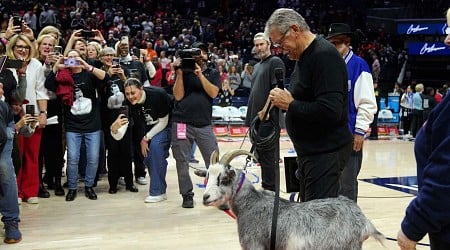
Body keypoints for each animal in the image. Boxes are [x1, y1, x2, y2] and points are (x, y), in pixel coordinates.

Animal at [202, 149, 384, 249]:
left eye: (224, 179)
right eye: (207, 176)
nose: (205, 197)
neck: (251, 203)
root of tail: (364, 222)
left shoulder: (254, 244)